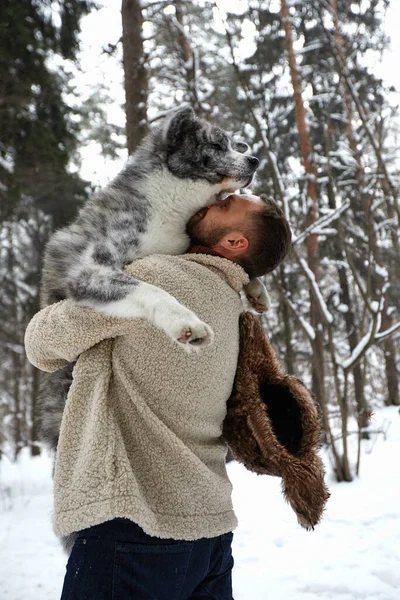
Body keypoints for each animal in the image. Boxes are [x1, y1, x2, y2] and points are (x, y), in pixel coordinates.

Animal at [37, 105, 262, 452]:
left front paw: (257, 289)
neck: (169, 204)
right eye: (216, 145)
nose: (254, 159)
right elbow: (153, 291)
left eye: (235, 145)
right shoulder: (91, 271)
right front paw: (186, 324)